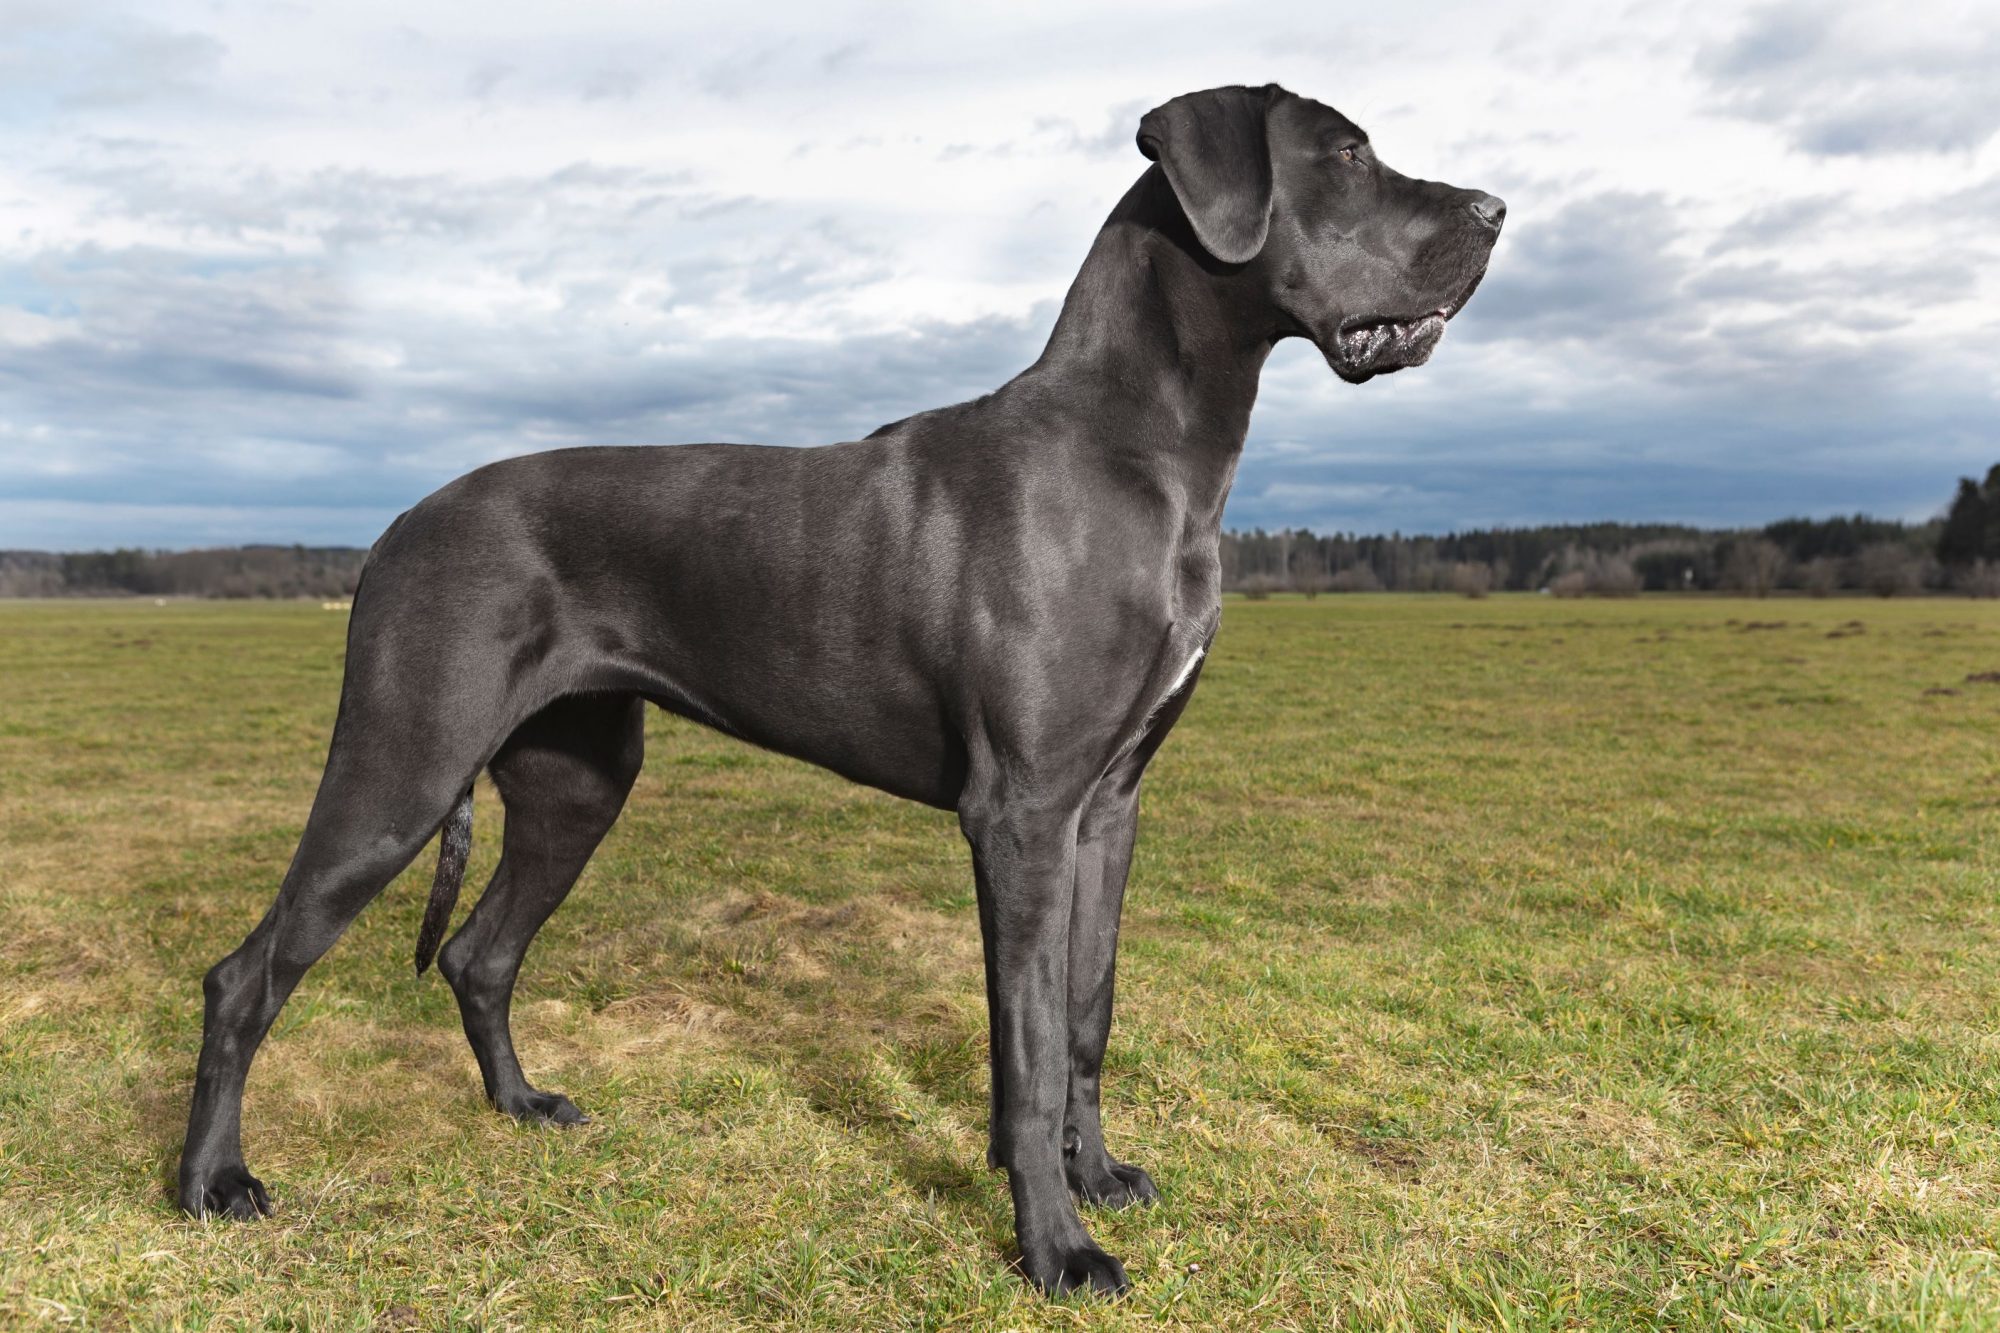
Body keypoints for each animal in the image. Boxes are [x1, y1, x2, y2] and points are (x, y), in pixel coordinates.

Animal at [180, 83, 1504, 1288]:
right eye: (1344, 152)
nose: (1496, 212)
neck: (1139, 449)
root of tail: (392, 528)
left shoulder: (1107, 805)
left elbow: (1082, 1012)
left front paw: (1094, 1177)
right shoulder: (1020, 811)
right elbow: (1026, 1043)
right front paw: (1054, 1246)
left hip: (577, 782)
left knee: (478, 954)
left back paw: (520, 1105)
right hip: (400, 766)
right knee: (247, 974)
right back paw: (210, 1183)